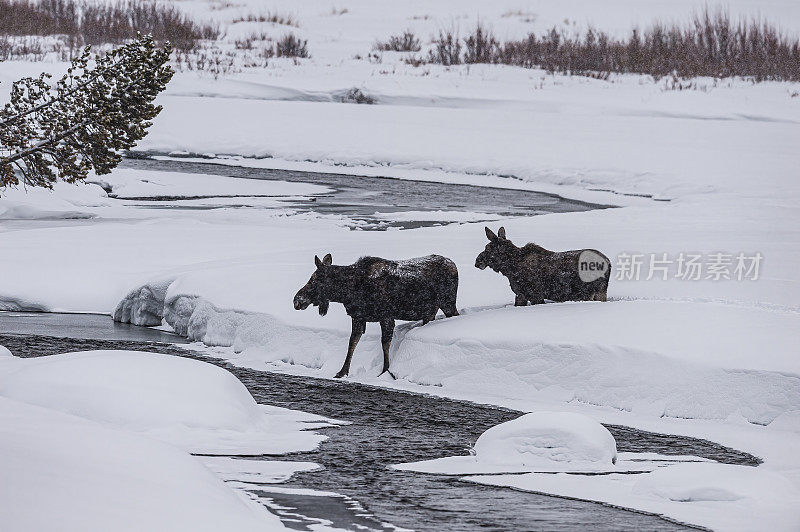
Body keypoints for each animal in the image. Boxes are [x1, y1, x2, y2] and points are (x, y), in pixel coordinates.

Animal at [294, 254, 460, 378]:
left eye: (314, 279)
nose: (297, 300)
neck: (347, 292)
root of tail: (454, 265)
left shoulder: (386, 316)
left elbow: (384, 344)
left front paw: (385, 371)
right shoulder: (358, 317)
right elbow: (352, 343)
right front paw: (342, 372)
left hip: (448, 302)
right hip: (430, 310)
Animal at [476, 227, 612, 306]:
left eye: (487, 248)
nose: (477, 261)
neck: (510, 268)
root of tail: (609, 263)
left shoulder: (533, 294)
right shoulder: (521, 295)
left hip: (589, 293)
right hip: (600, 292)